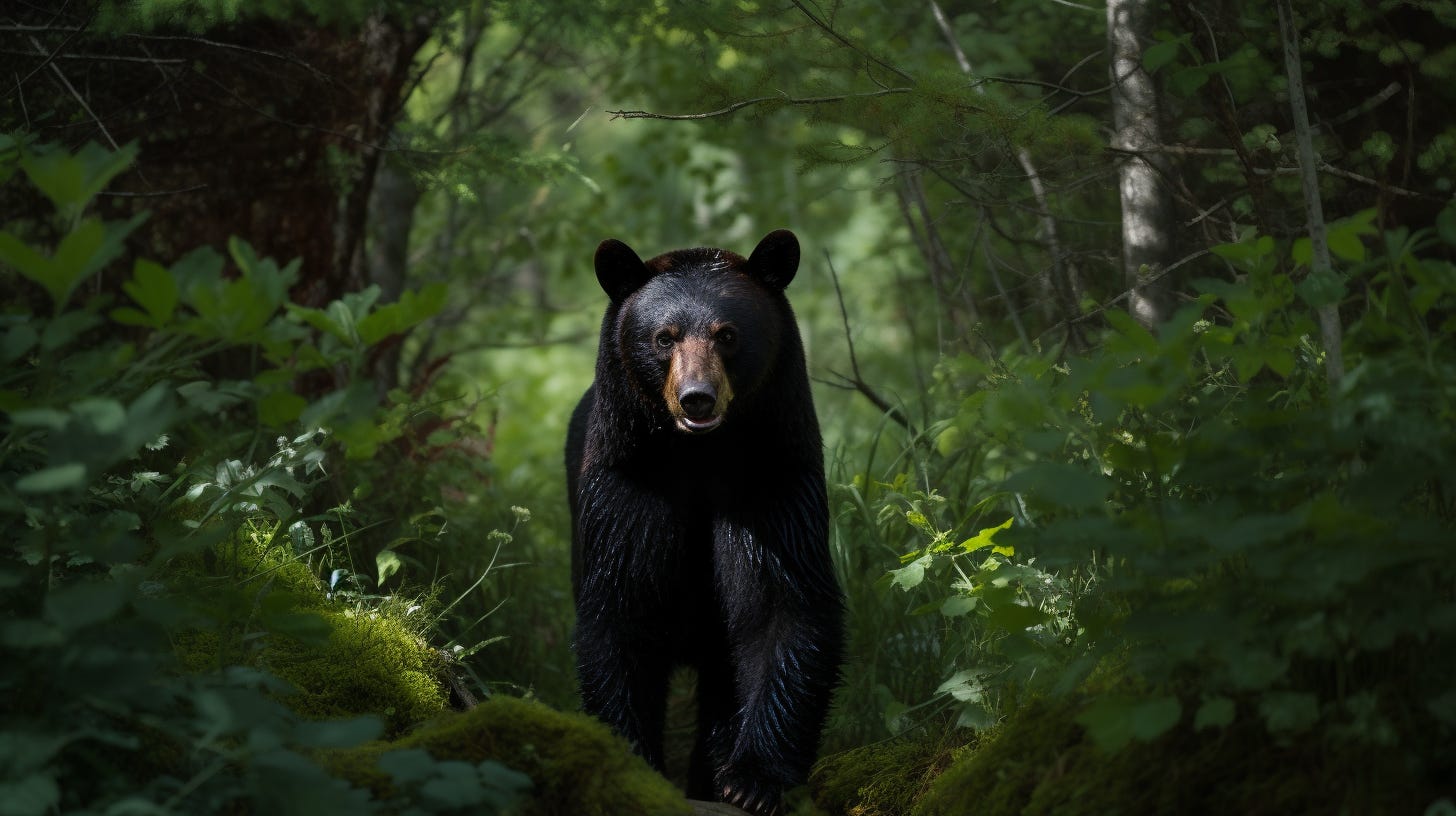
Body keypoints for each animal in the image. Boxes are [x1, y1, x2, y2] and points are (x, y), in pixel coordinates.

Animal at [564, 230, 844, 816]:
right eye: (663, 337)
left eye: (728, 334)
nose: (697, 398)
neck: (700, 455)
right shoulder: (630, 487)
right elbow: (621, 614)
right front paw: (634, 764)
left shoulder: (772, 483)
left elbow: (781, 608)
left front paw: (753, 781)